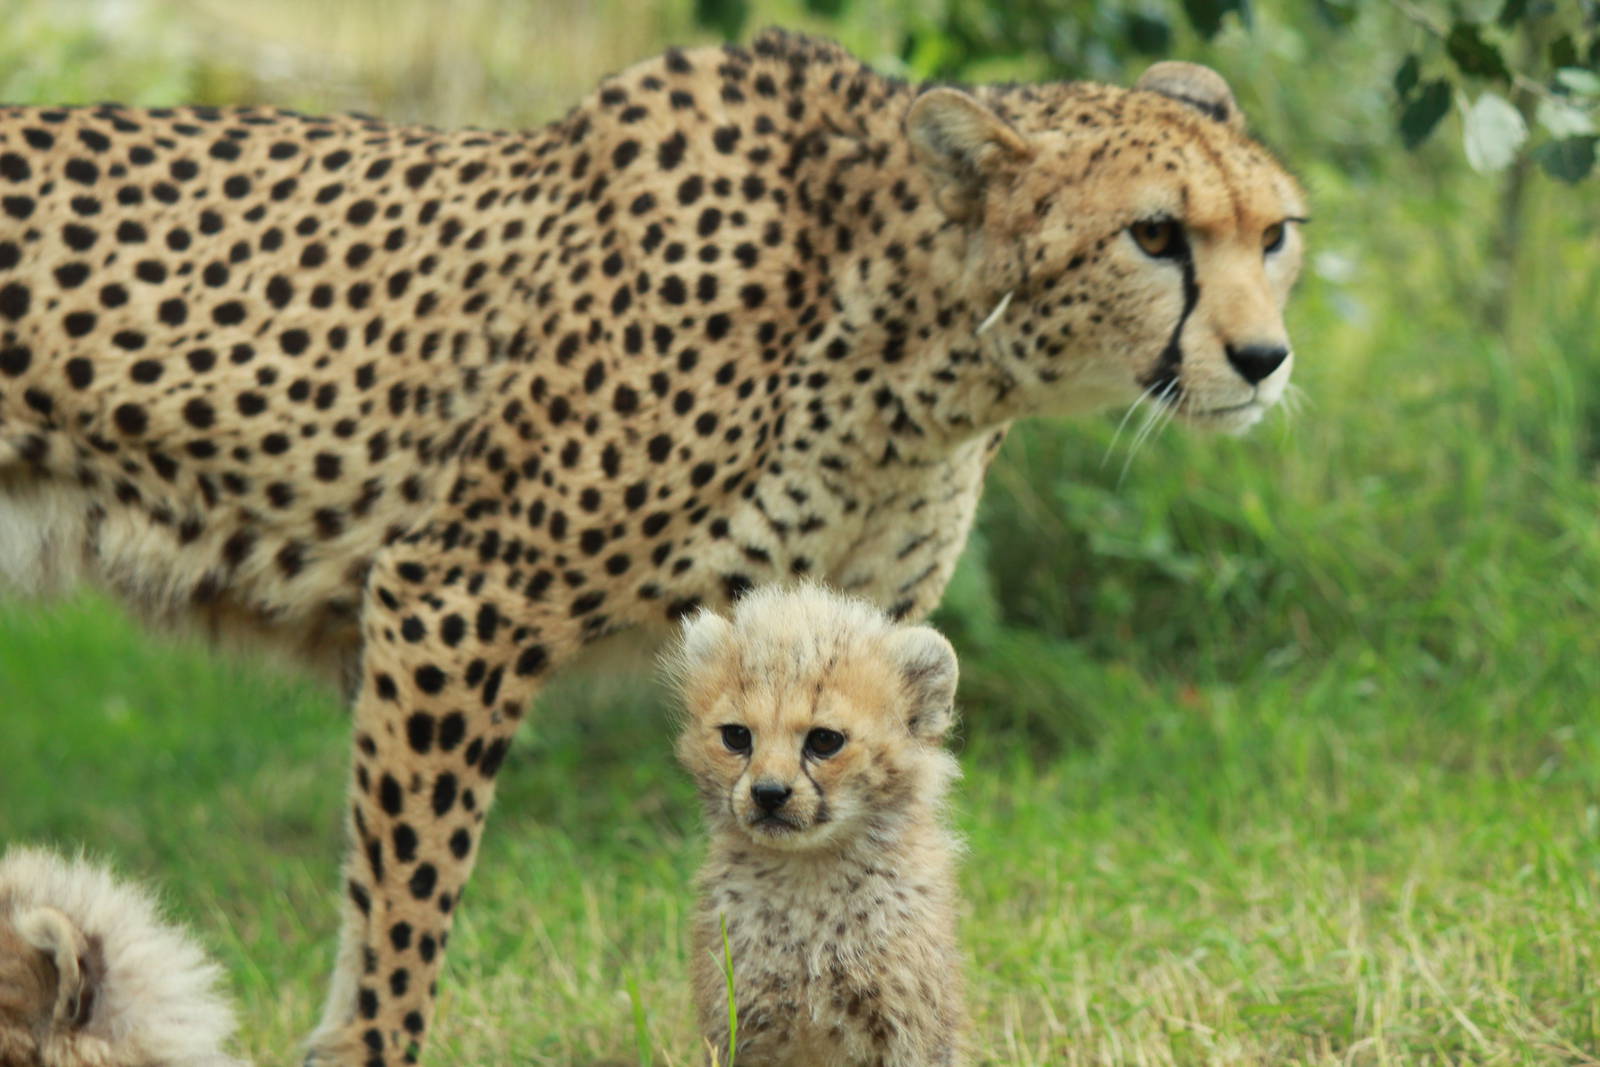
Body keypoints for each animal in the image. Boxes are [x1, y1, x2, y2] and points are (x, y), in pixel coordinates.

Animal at [669, 584, 966, 1067]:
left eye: (825, 740)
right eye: (736, 736)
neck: (806, 875)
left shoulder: (906, 1034)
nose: (769, 793)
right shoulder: (741, 1030)